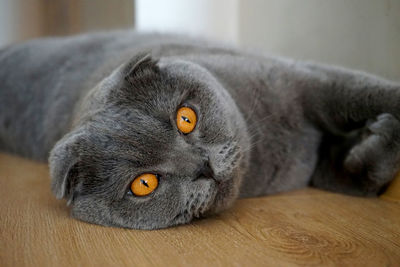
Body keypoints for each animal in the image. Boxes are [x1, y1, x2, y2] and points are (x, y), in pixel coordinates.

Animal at [0, 30, 400, 229]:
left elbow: (366, 92)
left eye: (186, 118)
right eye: (144, 184)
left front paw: (384, 126)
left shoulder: (303, 81)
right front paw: (382, 139)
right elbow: (354, 177)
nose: (202, 167)